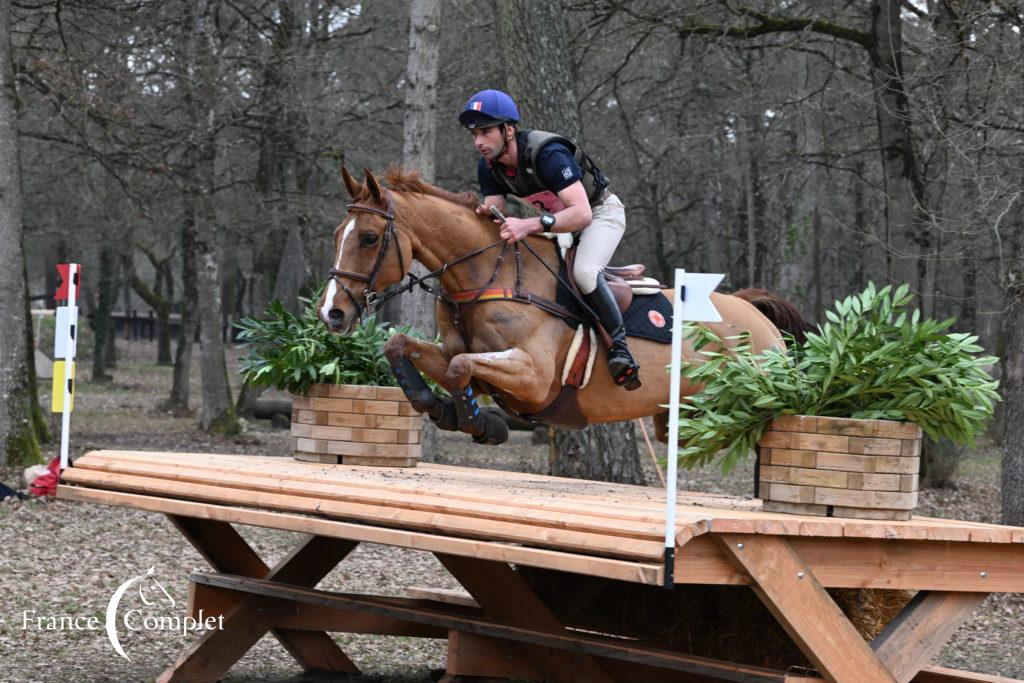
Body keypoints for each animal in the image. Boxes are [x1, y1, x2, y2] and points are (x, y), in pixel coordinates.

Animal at [315, 165, 811, 444]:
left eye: (369, 237)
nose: (332, 313)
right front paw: (435, 405)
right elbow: (402, 346)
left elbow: (460, 370)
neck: (486, 275)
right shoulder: (463, 353)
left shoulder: (534, 378)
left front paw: (477, 422)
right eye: (337, 234)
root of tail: (754, 312)